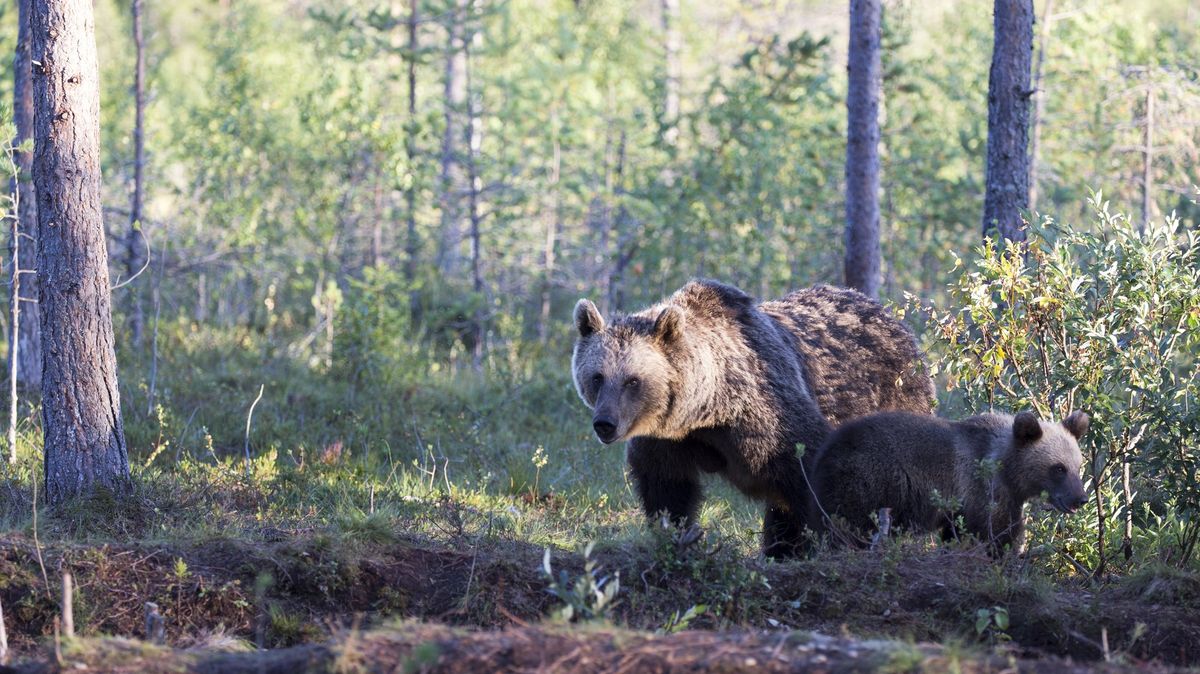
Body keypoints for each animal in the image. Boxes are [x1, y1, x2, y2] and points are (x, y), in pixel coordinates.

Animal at [571, 278, 936, 556]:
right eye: (598, 377)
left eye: (633, 380)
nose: (605, 424)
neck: (709, 409)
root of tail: (891, 316)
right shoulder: (666, 439)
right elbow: (667, 489)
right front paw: (676, 535)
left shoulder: (772, 421)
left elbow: (813, 480)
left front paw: (828, 544)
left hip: (895, 402)